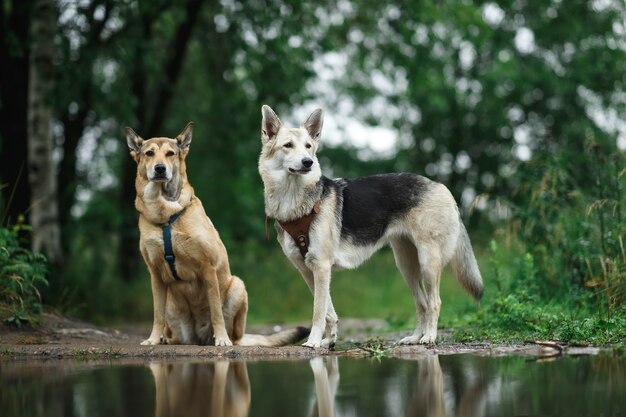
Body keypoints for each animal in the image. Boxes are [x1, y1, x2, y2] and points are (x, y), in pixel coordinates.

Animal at [127, 122, 310, 344]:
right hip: (174, 310)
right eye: (149, 153)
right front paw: (153, 339)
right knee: (174, 332)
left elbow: (216, 311)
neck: (165, 215)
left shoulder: (208, 268)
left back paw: (223, 339)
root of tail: (197, 338)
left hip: (237, 286)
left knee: (232, 333)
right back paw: (166, 339)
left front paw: (222, 339)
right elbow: (157, 314)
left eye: (170, 153)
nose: (160, 168)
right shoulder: (155, 273)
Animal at [256, 105, 480, 348]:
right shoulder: (308, 270)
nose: (308, 162)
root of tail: (441, 187)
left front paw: (313, 341)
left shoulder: (321, 268)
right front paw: (329, 341)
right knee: (422, 303)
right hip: (406, 267)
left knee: (434, 302)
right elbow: (329, 312)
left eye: (308, 146)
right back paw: (414, 337)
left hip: (428, 263)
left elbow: (318, 312)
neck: (294, 200)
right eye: (288, 145)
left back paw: (429, 337)